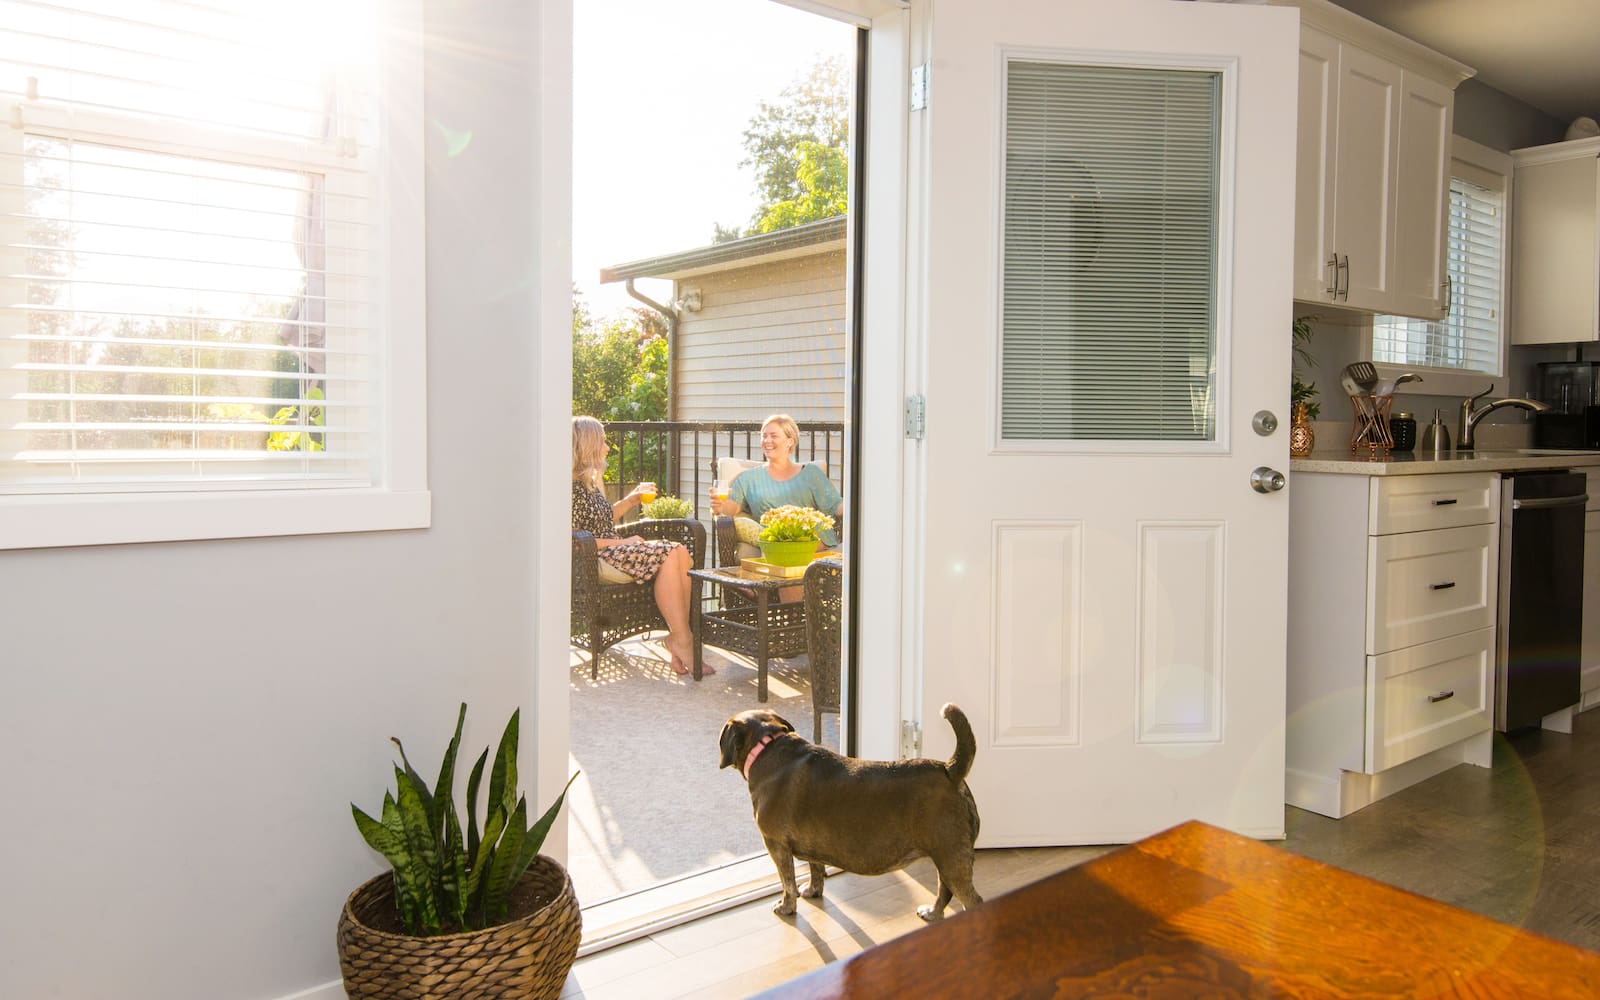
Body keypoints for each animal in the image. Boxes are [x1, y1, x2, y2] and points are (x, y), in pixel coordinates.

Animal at [718, 703, 982, 920]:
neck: (767, 745)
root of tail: (949, 770)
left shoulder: (776, 845)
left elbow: (788, 883)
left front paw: (786, 907)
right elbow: (815, 869)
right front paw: (813, 890)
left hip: (951, 858)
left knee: (972, 899)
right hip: (945, 858)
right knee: (944, 891)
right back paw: (933, 913)